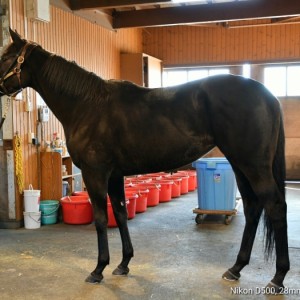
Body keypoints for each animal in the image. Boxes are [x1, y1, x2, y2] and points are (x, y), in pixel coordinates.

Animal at [0, 29, 290, 292]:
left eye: (6, 57)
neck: (86, 105)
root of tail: (268, 95)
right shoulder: (115, 175)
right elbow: (119, 213)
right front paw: (123, 263)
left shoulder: (96, 174)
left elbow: (101, 219)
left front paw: (98, 269)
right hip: (240, 165)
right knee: (252, 207)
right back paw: (235, 268)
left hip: (254, 166)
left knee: (275, 206)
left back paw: (277, 278)